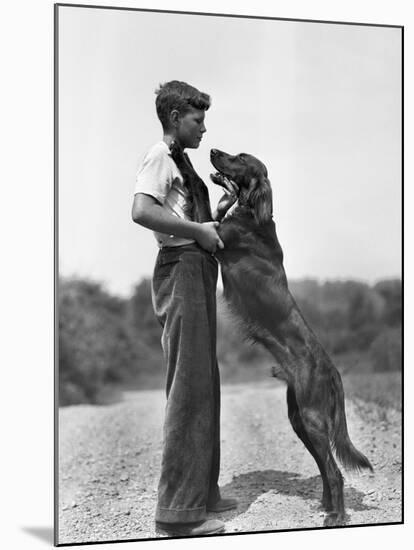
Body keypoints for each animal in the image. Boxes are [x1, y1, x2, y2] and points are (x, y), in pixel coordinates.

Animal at [170, 143, 374, 532]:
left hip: (312, 417)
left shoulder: (215, 240)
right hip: (300, 419)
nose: (214, 149)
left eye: (240, 158)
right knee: (325, 469)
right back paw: (326, 506)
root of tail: (332, 371)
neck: (253, 213)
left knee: (334, 471)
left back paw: (336, 516)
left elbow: (198, 192)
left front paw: (181, 159)